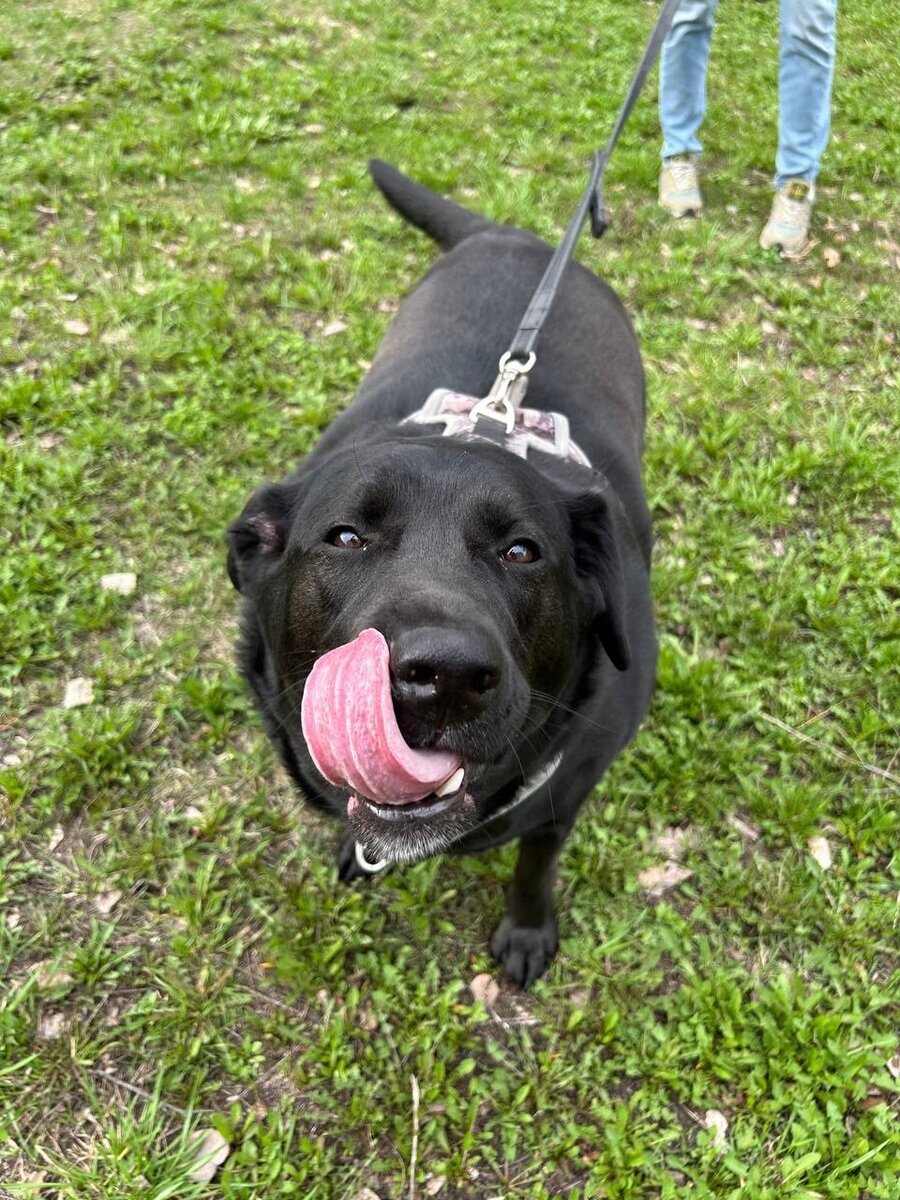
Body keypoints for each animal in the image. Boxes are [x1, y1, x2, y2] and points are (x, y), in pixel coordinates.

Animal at [229, 159, 657, 984]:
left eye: (522, 552)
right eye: (346, 537)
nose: (445, 675)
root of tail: (512, 235)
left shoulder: (568, 793)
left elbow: (536, 862)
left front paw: (527, 930)